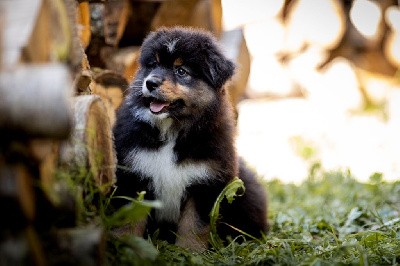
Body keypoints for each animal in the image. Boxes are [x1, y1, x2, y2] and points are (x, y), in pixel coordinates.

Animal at [112, 26, 268, 249]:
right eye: (153, 65)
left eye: (181, 71)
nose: (150, 83)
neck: (172, 130)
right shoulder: (133, 173)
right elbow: (129, 218)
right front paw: (124, 244)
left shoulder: (206, 182)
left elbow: (194, 224)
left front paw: (189, 251)